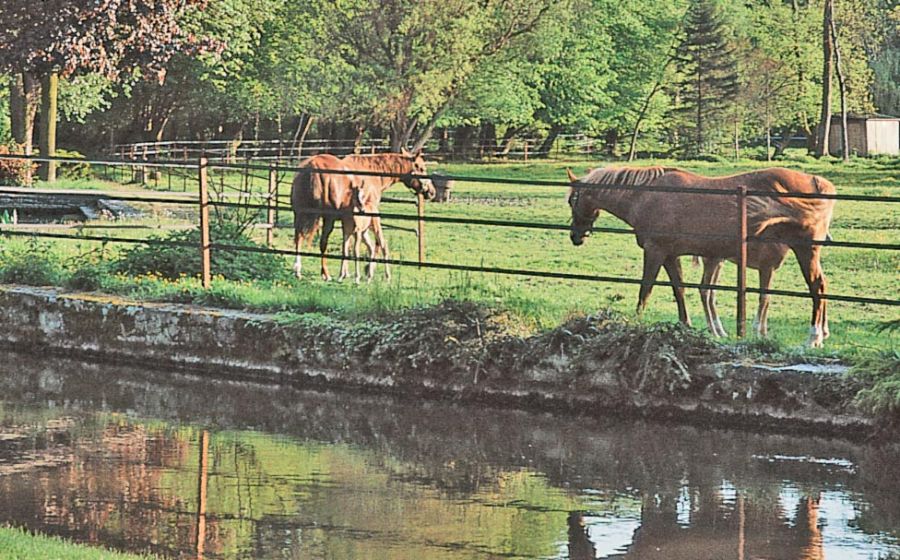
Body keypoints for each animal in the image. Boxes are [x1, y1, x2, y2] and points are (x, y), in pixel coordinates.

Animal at [290, 149, 434, 280]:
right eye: (421, 168)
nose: (432, 192)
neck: (373, 173)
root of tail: (313, 166)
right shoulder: (371, 215)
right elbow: (375, 243)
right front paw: (368, 270)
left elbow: (347, 244)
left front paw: (346, 272)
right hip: (327, 219)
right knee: (322, 242)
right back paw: (325, 274)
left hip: (299, 215)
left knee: (299, 238)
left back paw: (298, 270)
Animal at [568, 166, 836, 348]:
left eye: (572, 200)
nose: (575, 236)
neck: (647, 196)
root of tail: (817, 183)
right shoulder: (670, 255)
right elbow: (680, 289)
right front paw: (685, 326)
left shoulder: (655, 251)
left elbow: (646, 289)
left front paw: (635, 323)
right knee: (822, 286)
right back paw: (821, 334)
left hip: (805, 249)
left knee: (817, 287)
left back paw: (813, 337)